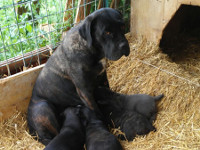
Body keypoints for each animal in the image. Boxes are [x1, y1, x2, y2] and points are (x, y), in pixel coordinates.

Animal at [27, 8, 130, 145]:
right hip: (44, 107)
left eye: (122, 26)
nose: (124, 45)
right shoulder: (85, 92)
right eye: (107, 32)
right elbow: (96, 111)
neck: (90, 49)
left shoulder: (103, 78)